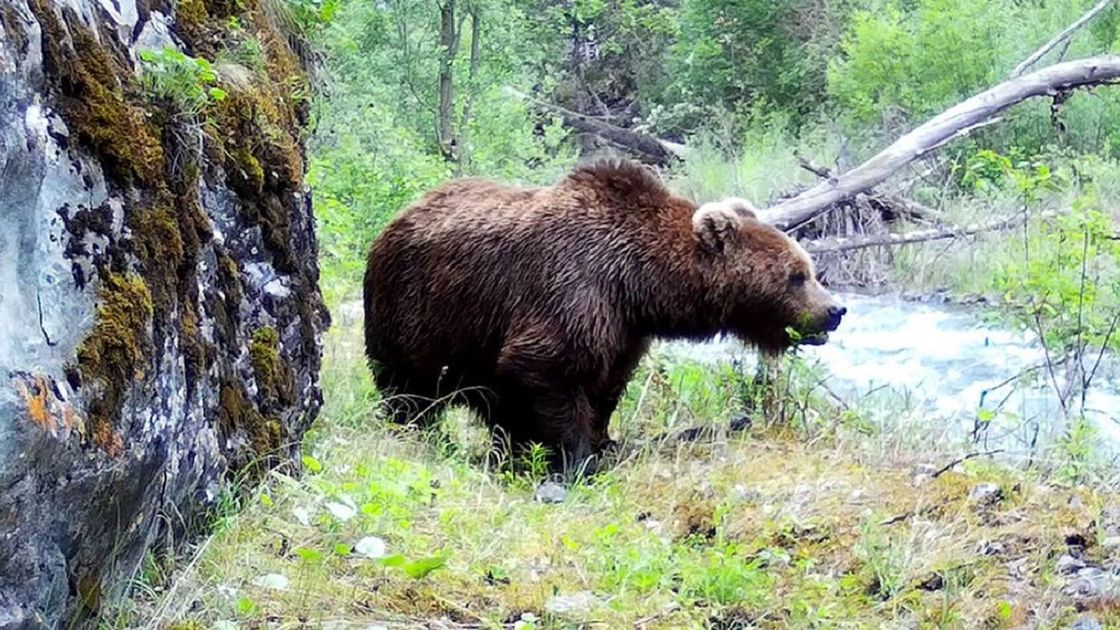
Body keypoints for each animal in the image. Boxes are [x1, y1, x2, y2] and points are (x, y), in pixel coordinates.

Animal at [363, 159, 845, 473]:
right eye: (796, 275)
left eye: (809, 268)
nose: (835, 311)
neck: (639, 282)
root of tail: (399, 216)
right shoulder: (572, 288)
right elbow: (545, 367)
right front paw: (576, 457)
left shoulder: (624, 327)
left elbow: (607, 384)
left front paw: (601, 440)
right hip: (417, 311)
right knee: (409, 388)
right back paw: (422, 430)